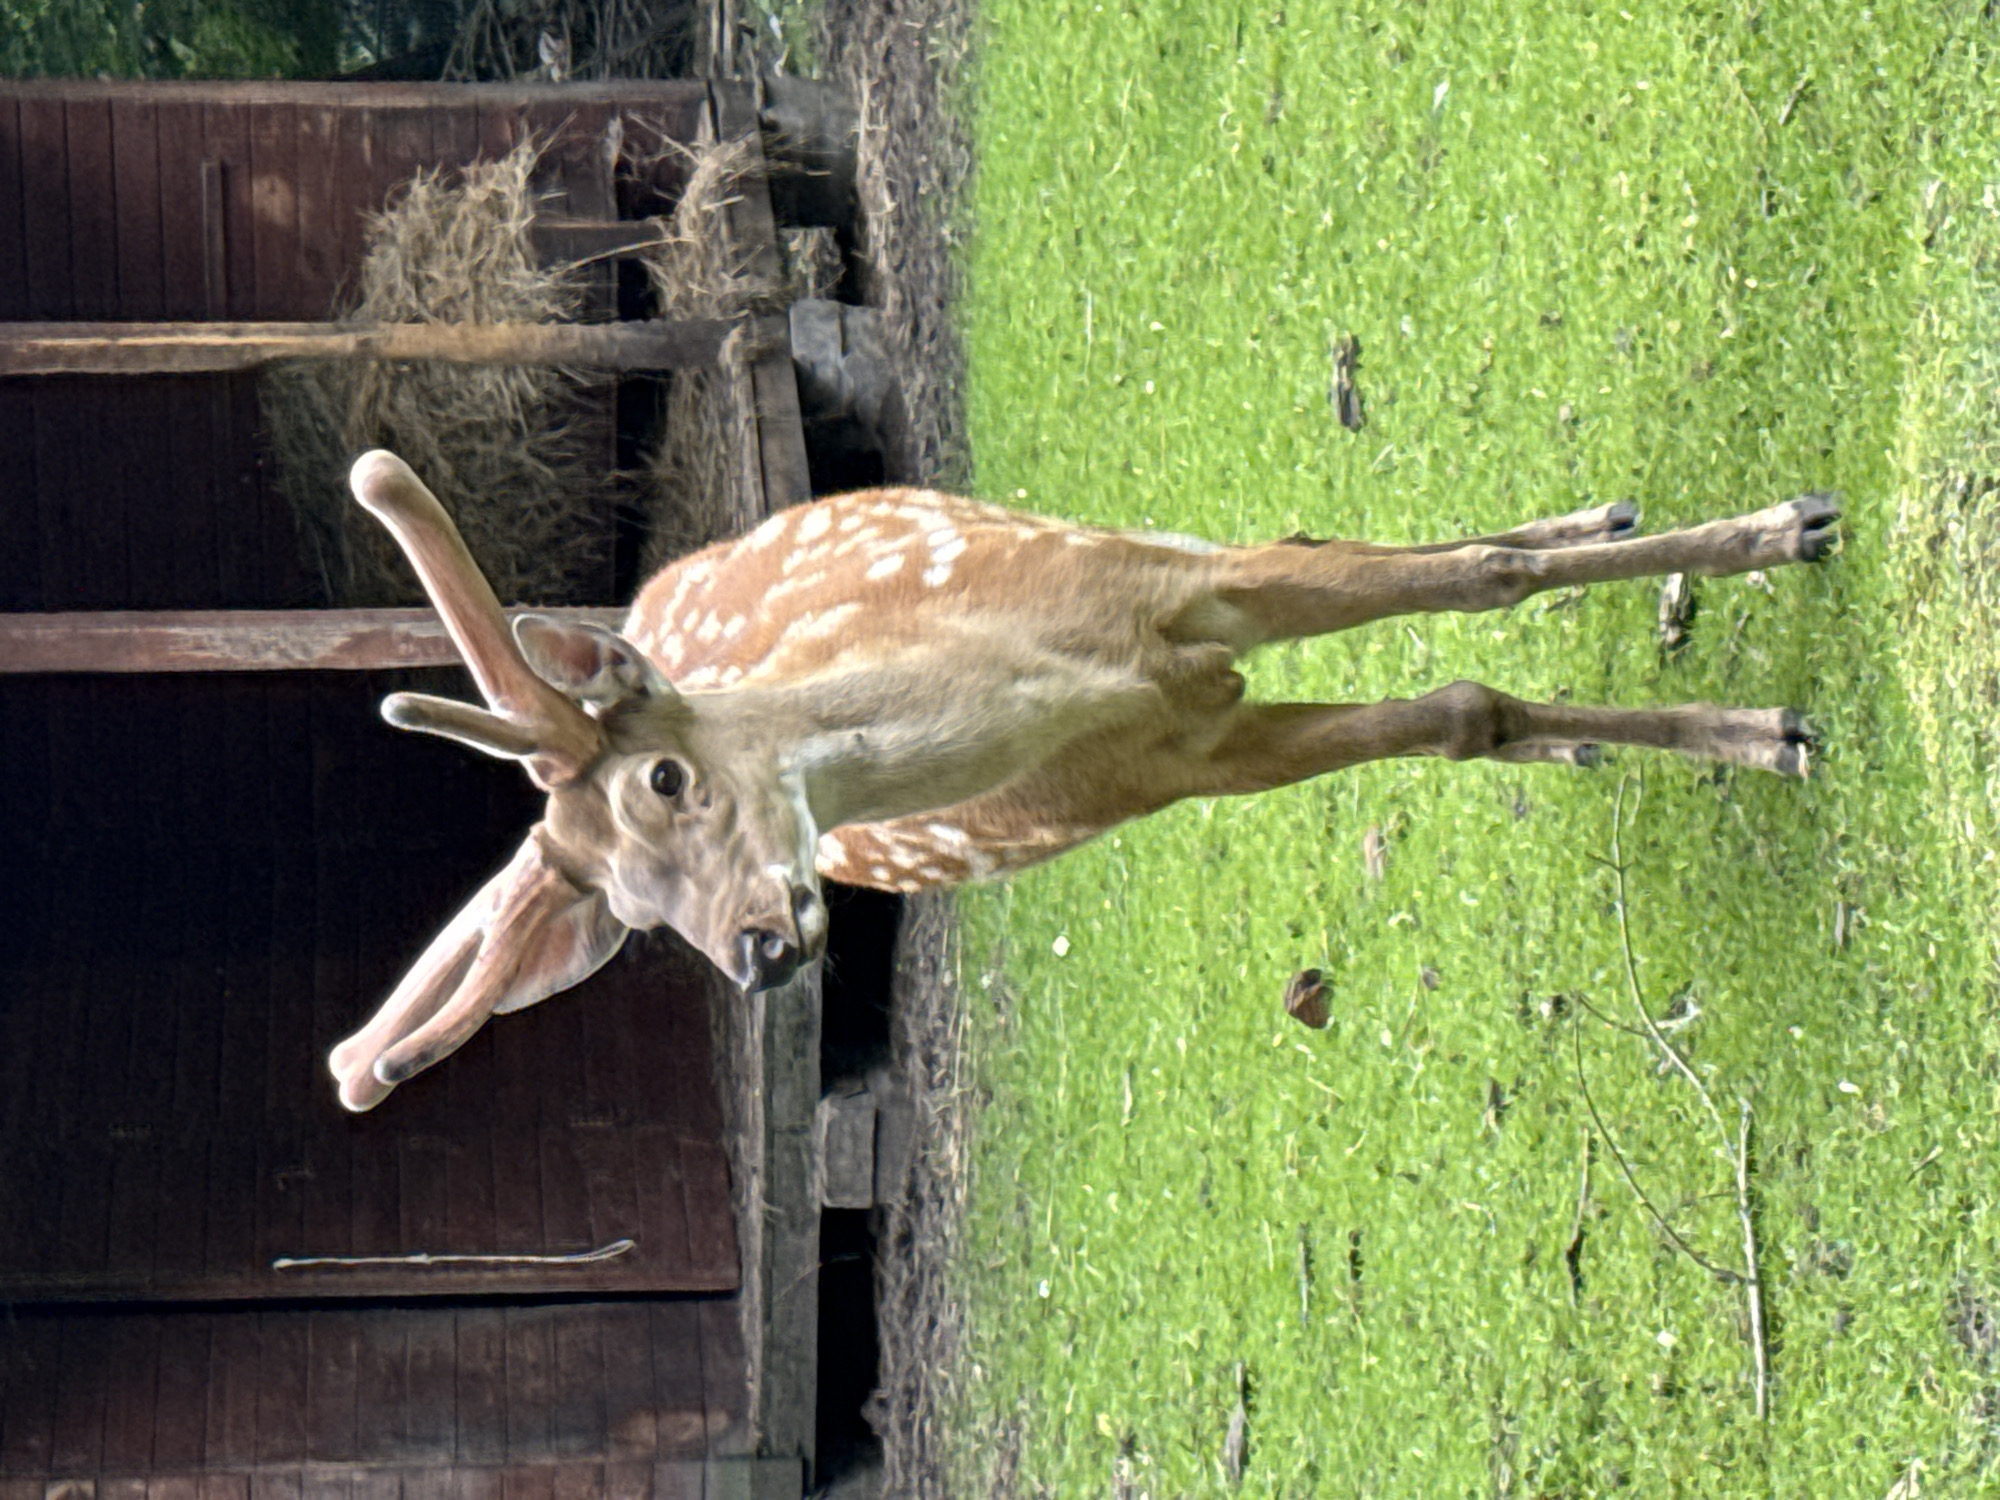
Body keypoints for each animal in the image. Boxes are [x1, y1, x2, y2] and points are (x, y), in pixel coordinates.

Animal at [327, 448, 1839, 1111]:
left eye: (661, 781)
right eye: (635, 924)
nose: (755, 950)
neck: (1065, 677)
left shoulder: (1182, 593)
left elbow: (1481, 584)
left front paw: (1787, 540)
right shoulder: (1189, 759)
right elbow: (1458, 709)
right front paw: (1760, 729)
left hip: (1130, 534)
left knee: (1343, 531)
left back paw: (1611, 518)